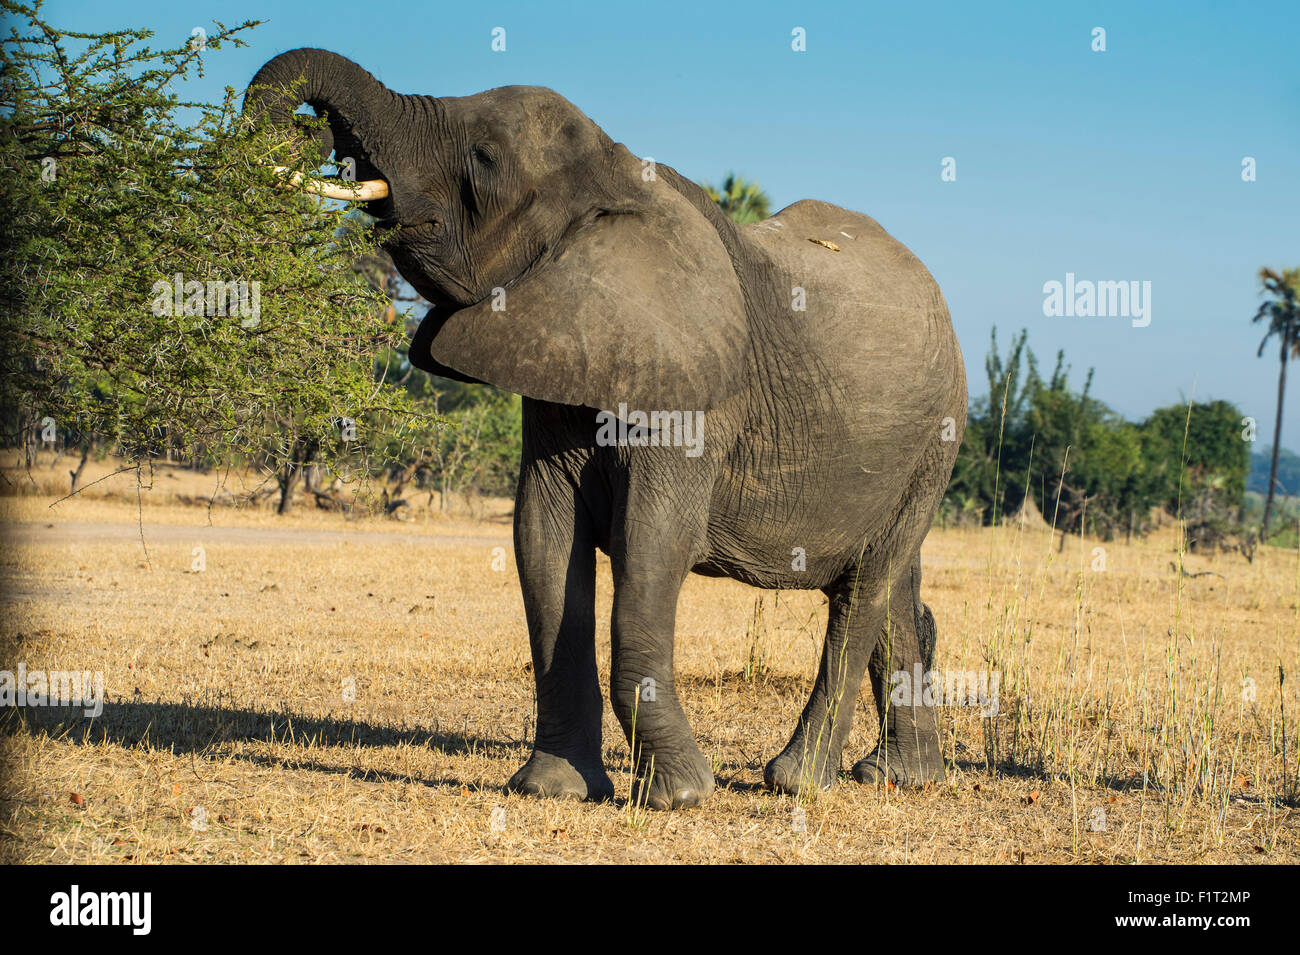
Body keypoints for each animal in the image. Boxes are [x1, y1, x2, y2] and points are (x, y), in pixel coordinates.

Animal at [244, 49, 968, 809]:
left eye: (485, 157)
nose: (310, 135)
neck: (615, 177)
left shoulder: (692, 394)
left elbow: (650, 544)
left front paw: (679, 796)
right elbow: (543, 537)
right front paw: (552, 788)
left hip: (938, 438)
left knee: (866, 587)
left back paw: (797, 782)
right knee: (897, 587)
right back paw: (898, 776)